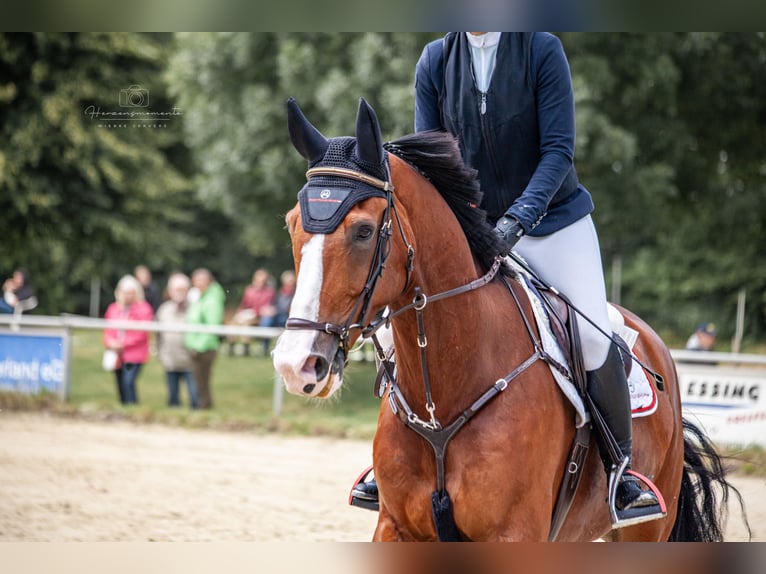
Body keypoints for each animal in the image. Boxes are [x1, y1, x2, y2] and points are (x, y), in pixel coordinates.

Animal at [274, 97, 744, 544]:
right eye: (292, 224)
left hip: (646, 528)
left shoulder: (514, 533)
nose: (297, 365)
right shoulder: (396, 527)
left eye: (364, 231)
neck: (444, 397)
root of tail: (654, 343)